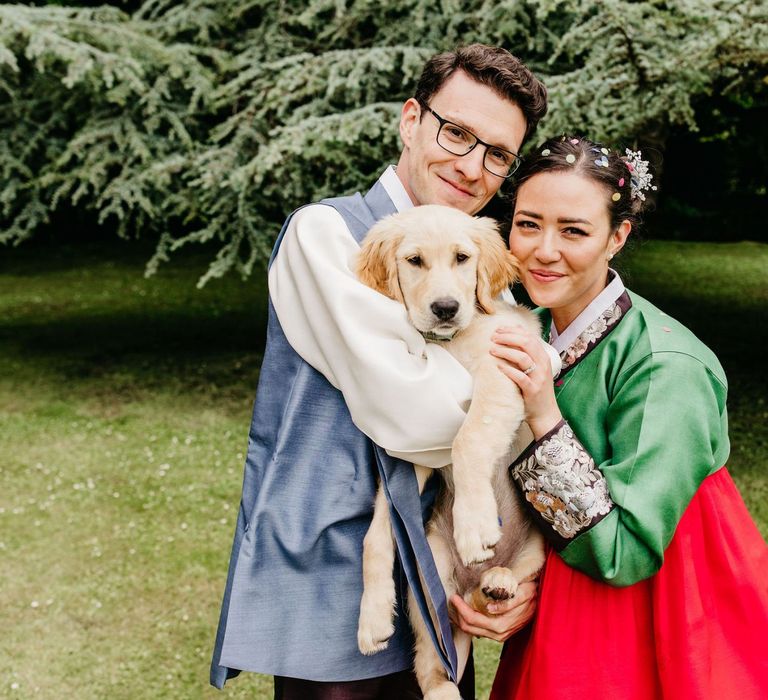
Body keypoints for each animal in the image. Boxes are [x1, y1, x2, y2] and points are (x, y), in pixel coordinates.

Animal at [354, 204, 552, 700]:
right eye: (414, 261)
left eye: (462, 258)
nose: (446, 308)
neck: (452, 344)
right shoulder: (412, 444)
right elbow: (376, 531)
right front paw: (371, 616)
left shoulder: (503, 374)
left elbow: (469, 438)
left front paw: (475, 523)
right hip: (428, 579)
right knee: (433, 661)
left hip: (536, 553)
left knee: (508, 582)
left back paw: (496, 581)